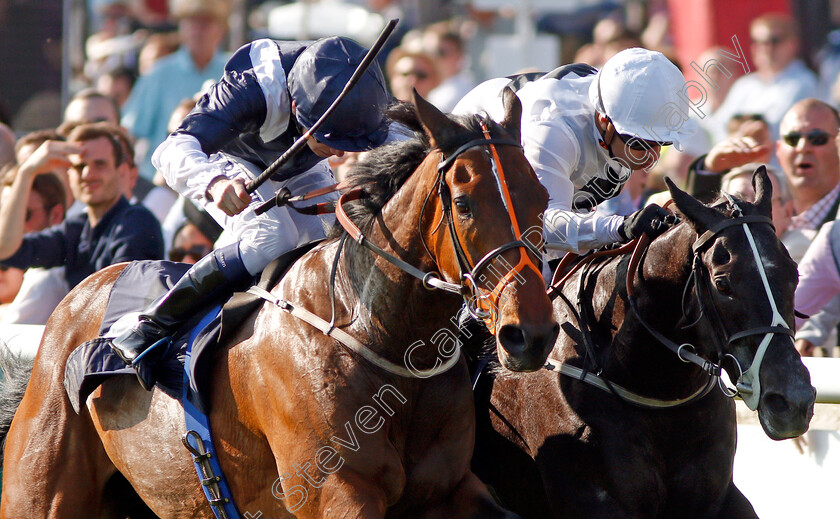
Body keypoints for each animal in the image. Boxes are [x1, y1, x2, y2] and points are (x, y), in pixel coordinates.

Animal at [0, 90, 556, 519]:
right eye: (463, 204)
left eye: (543, 197)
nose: (530, 334)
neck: (381, 337)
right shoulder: (336, 492)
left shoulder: (451, 488)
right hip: (41, 492)